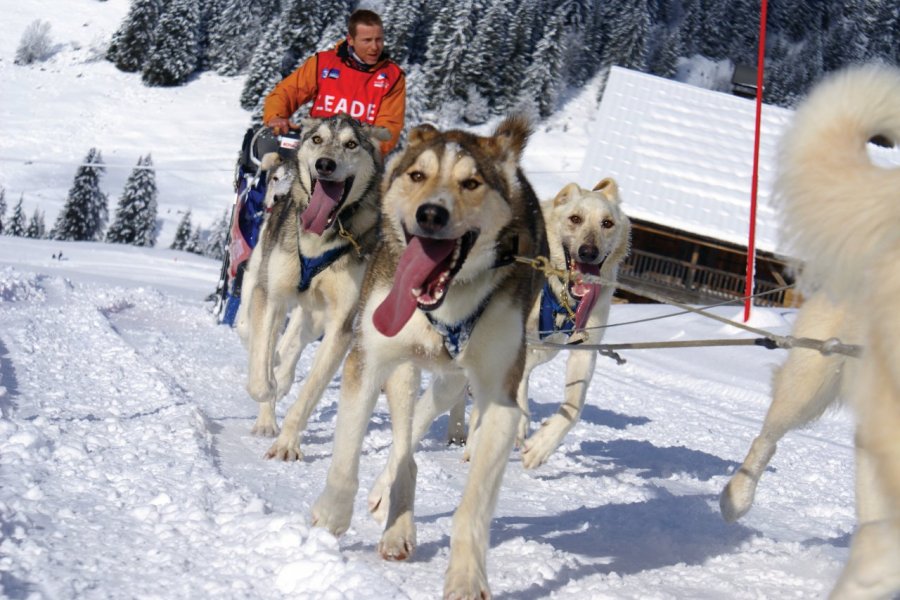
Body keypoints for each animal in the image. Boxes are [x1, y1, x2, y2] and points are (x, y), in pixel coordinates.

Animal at [310, 115, 548, 596]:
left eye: (471, 183)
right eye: (418, 176)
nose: (431, 214)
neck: (445, 302)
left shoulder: (500, 401)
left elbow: (473, 506)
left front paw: (466, 576)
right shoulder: (368, 359)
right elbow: (346, 455)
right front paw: (330, 517)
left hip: (453, 382)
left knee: (420, 424)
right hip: (404, 369)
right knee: (405, 443)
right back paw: (394, 519)